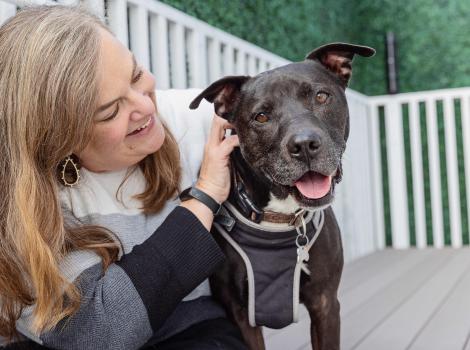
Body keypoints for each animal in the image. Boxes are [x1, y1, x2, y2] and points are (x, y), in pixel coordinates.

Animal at [187, 42, 374, 348]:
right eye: (261, 116)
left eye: (321, 96)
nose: (305, 144)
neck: (280, 217)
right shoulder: (240, 315)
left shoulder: (325, 304)